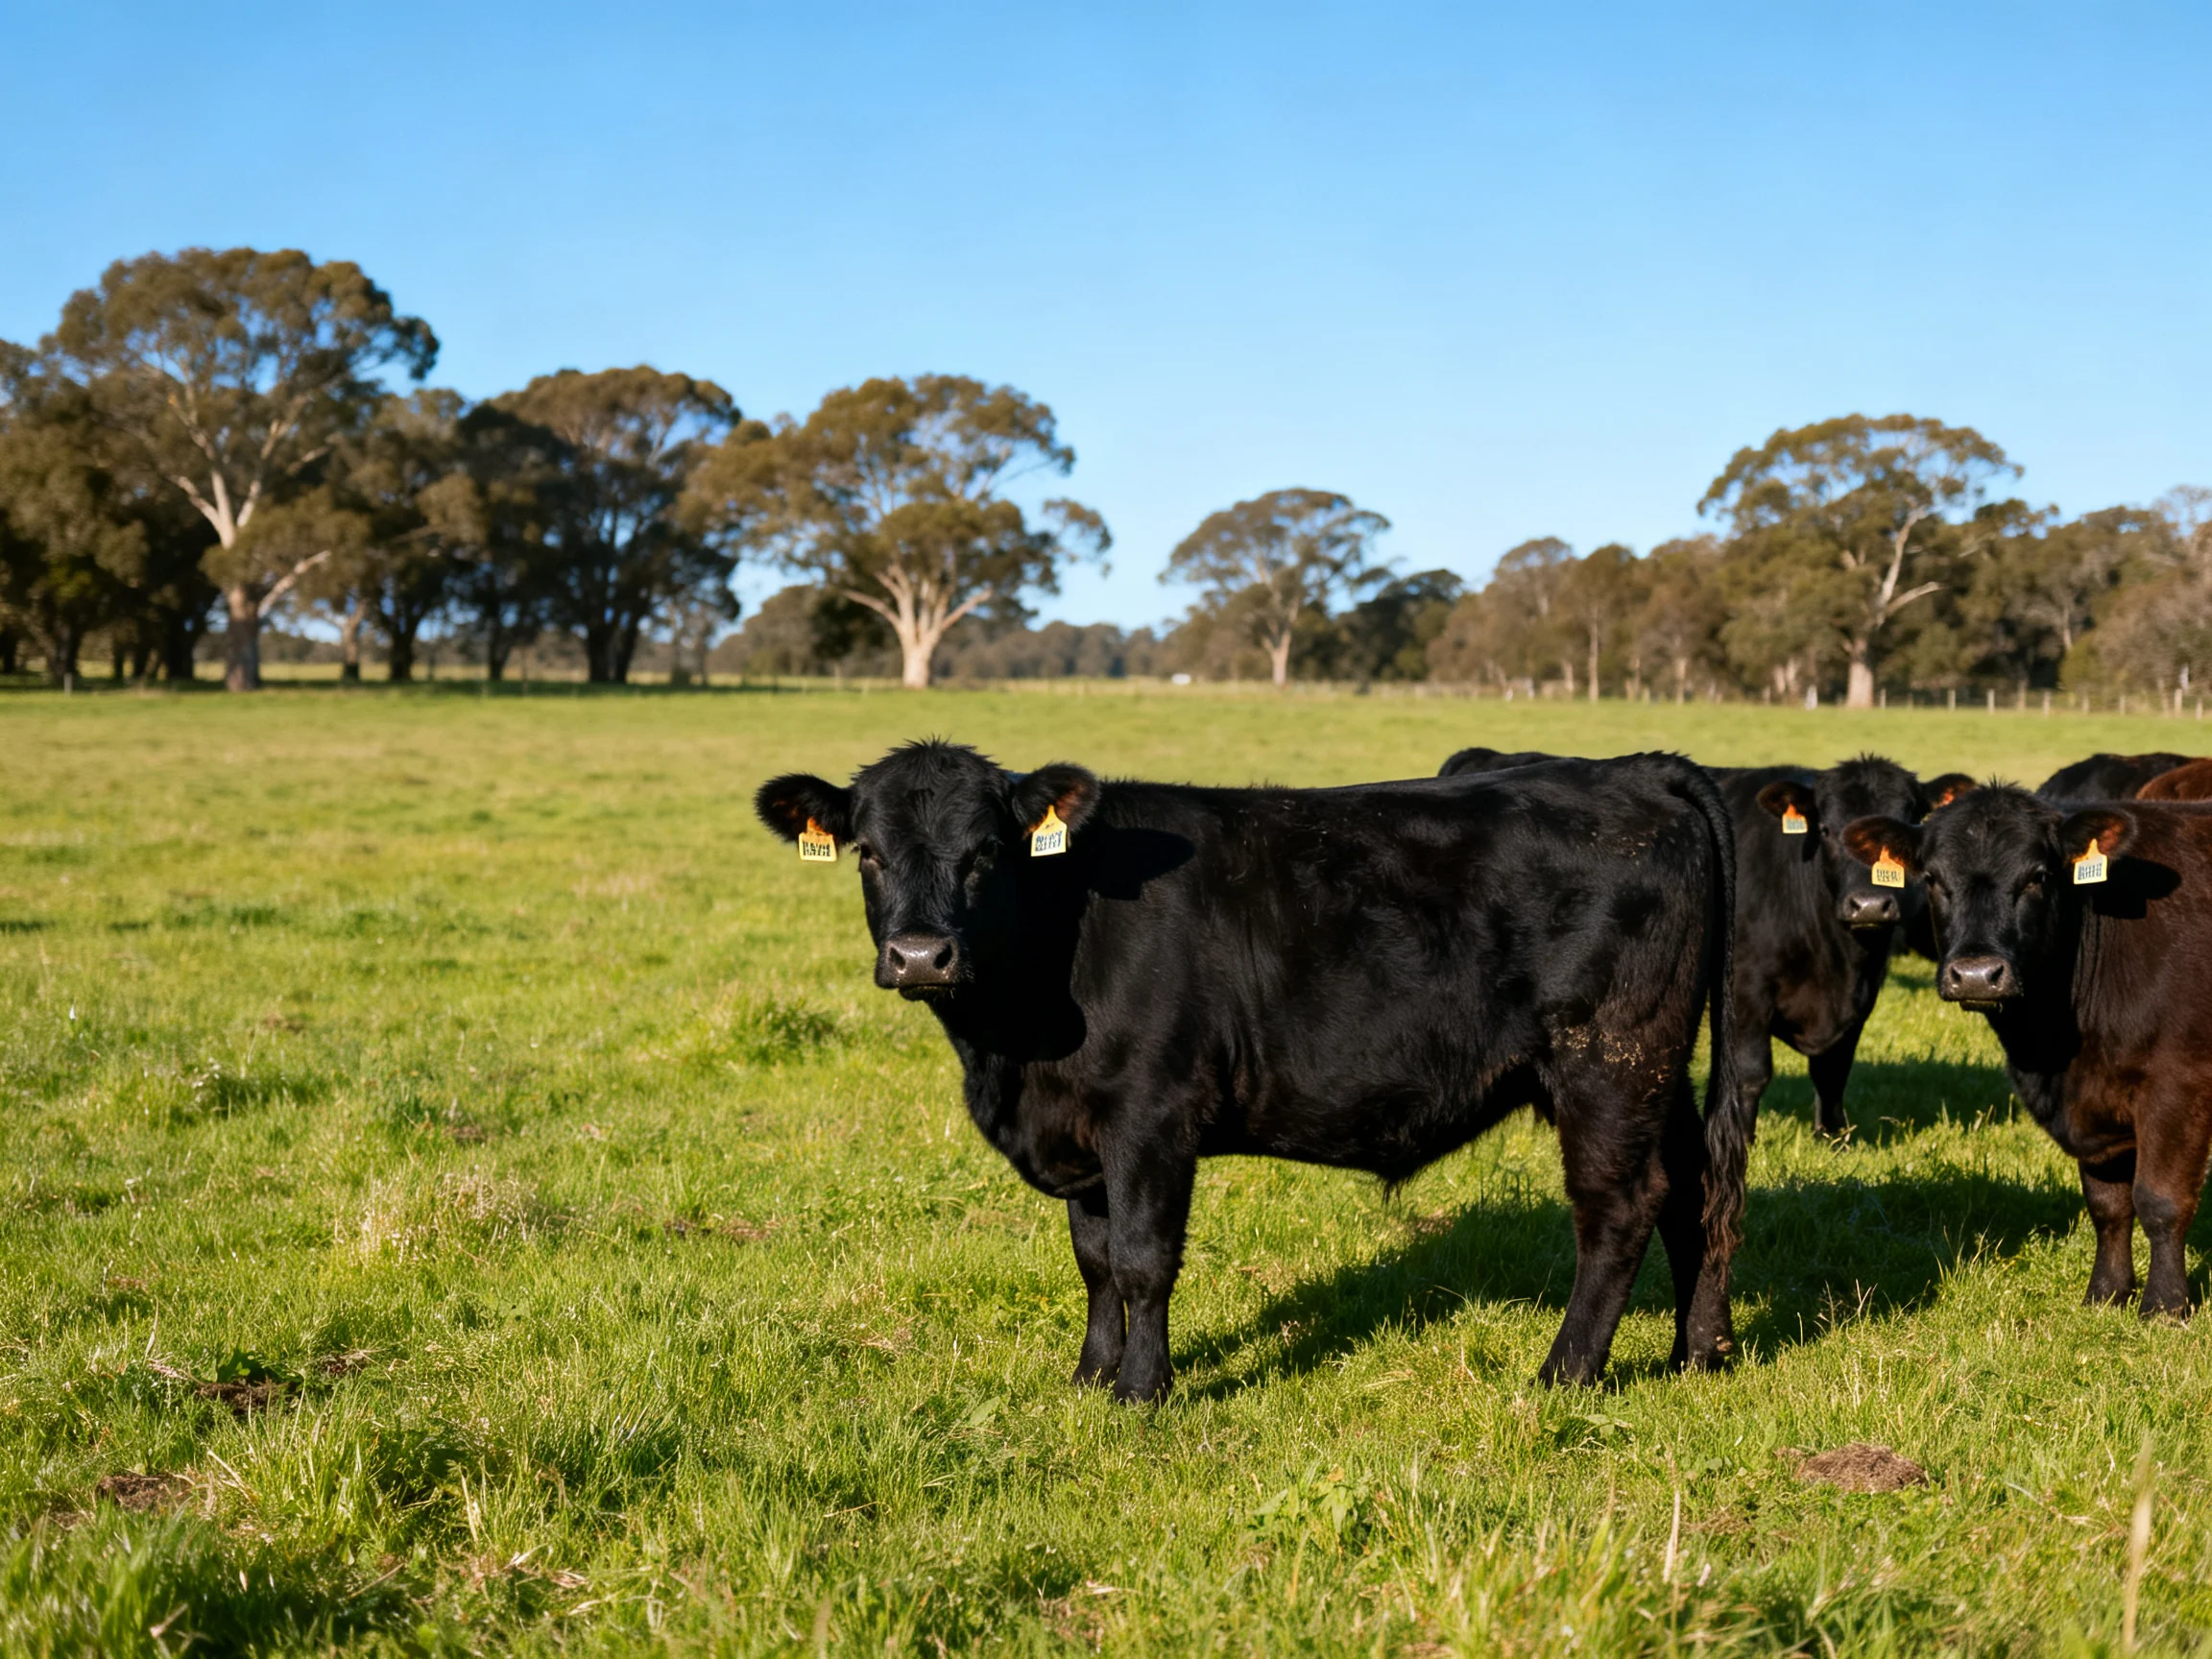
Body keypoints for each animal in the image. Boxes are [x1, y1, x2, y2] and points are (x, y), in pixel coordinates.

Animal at [757, 741, 1751, 1401]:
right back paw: (1697, 1355)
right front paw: (1089, 1377)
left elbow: (1143, 1259)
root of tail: (1633, 767)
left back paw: (1564, 1374)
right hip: (1660, 1071)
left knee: (1620, 1208)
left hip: (1609, 1061)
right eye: (869, 852)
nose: (921, 956)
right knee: (1697, 1192)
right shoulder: (1083, 1129)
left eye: (987, 853)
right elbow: (1093, 1261)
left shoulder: (1152, 1116)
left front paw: (1142, 1391)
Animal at [1441, 747, 1970, 1139]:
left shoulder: (1860, 998)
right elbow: (1752, 1072)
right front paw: (1747, 1139)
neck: (1836, 962)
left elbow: (1833, 1070)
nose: (1871, 905)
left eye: (1908, 830)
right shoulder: (1748, 991)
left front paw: (1833, 1139)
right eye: (1825, 829)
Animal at [1842, 786, 2212, 1316]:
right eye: (1932, 878)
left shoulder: (2178, 1086)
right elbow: (2107, 1205)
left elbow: (2160, 1202)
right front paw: (2105, 1294)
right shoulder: (2092, 1104)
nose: (1977, 975)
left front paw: (2164, 1307)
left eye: (2038, 876)